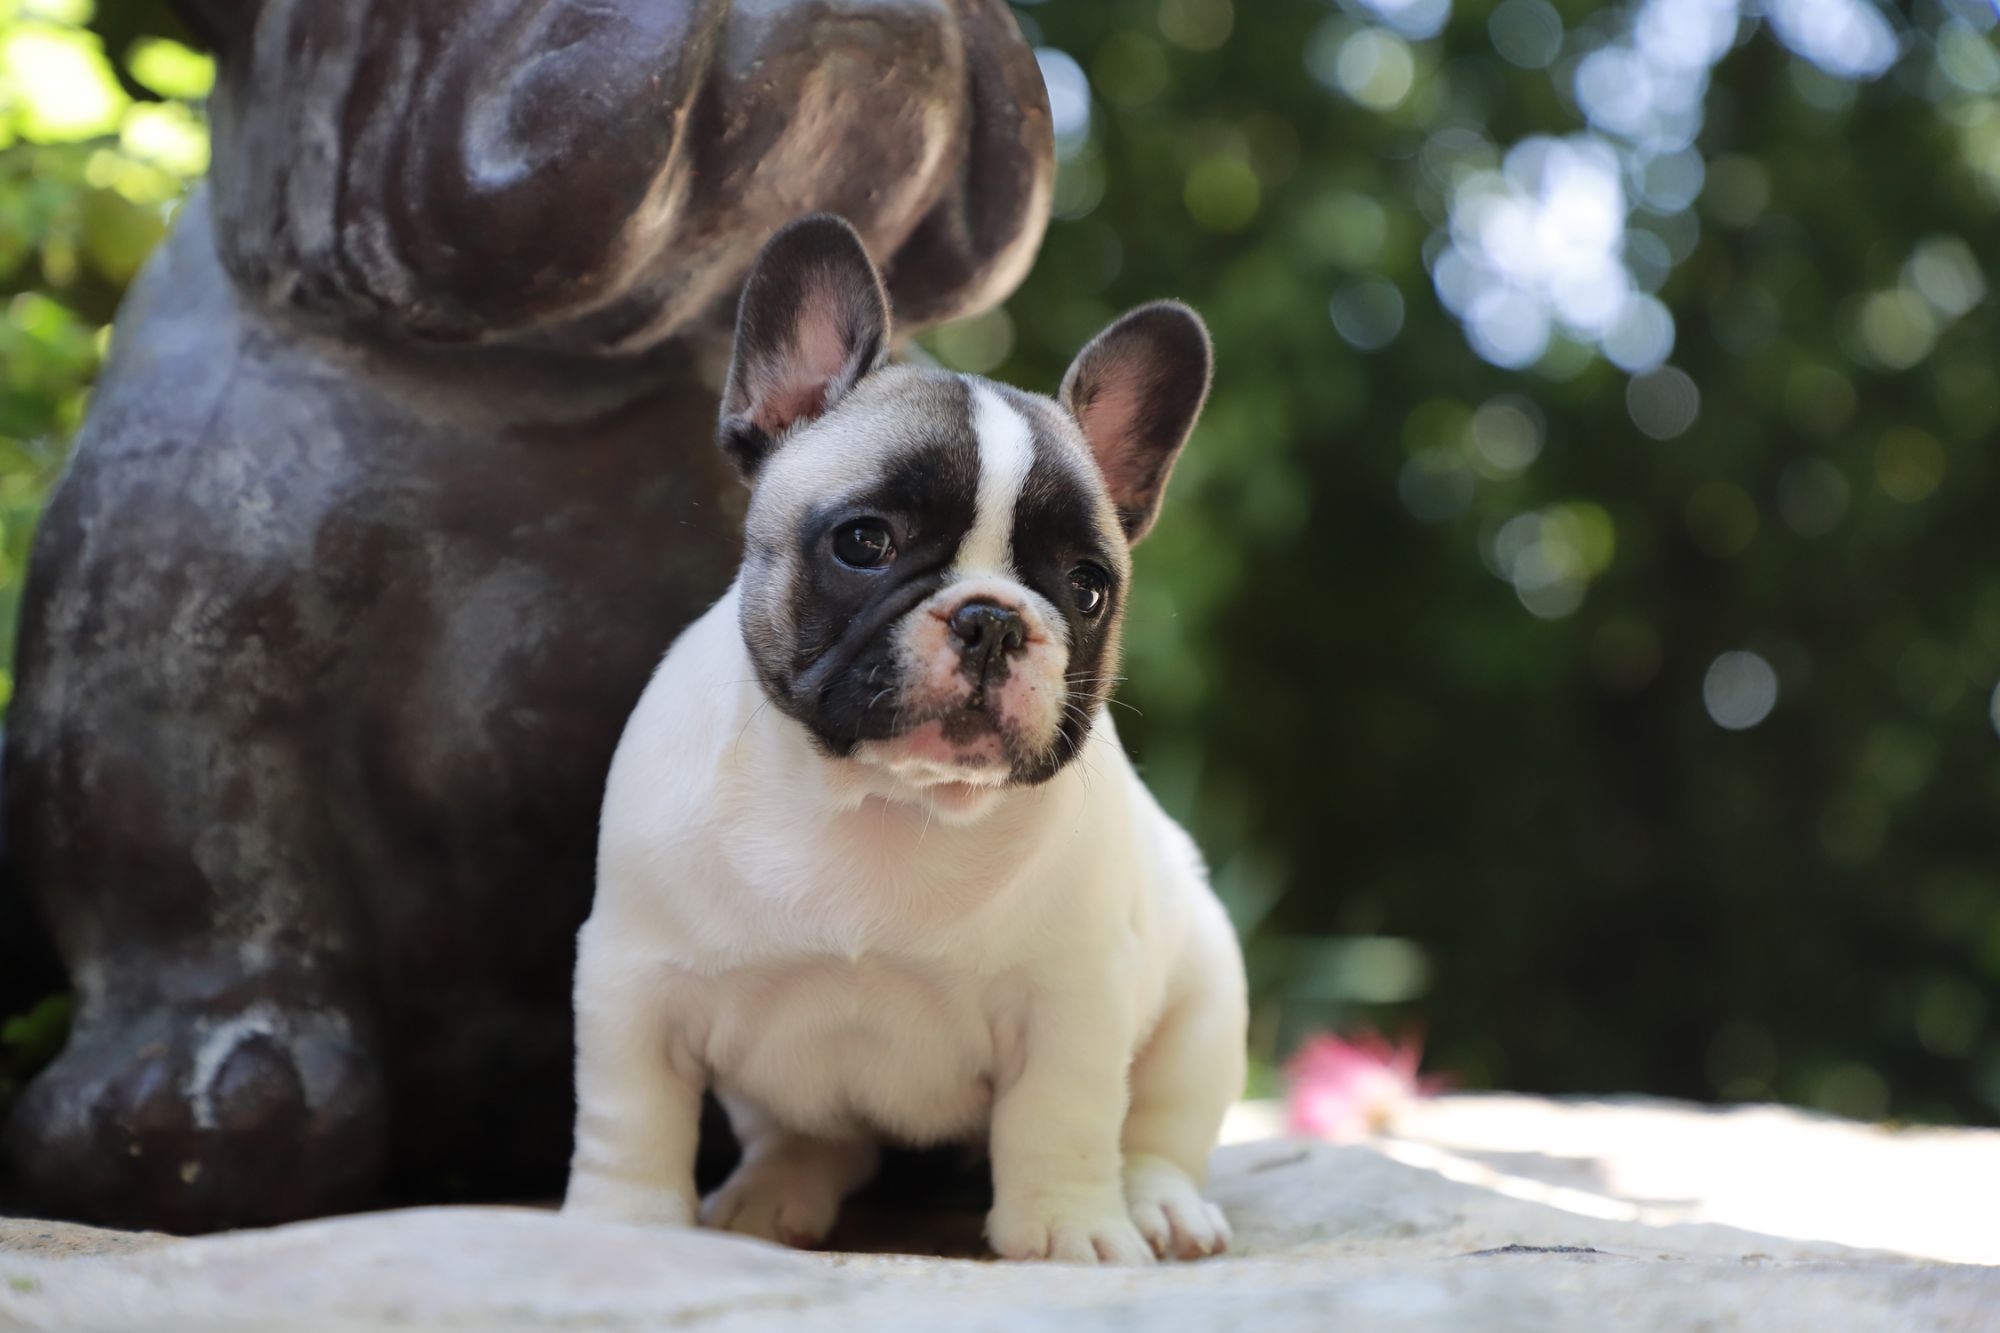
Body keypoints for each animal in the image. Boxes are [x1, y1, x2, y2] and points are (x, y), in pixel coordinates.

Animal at [562, 214, 1247, 1265]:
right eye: (864, 541)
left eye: (1088, 586)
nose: (994, 620)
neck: (886, 801)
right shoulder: (636, 978)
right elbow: (631, 1111)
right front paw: (622, 1223)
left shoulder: (1073, 998)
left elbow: (1064, 1116)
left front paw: (1069, 1228)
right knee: (813, 1138)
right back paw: (771, 1192)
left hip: (1207, 995)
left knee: (1162, 1124)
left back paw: (1160, 1205)